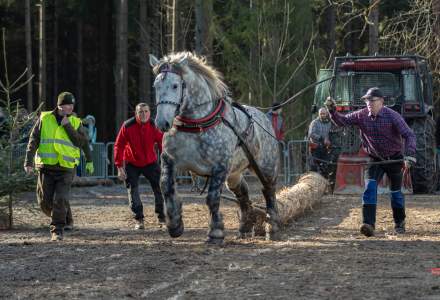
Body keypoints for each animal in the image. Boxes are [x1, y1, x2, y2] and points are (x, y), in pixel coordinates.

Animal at [150, 51, 280, 244]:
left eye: (175, 85)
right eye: (156, 85)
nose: (162, 123)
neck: (196, 124)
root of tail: (264, 118)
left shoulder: (219, 167)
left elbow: (212, 198)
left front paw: (216, 232)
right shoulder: (170, 160)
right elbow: (166, 186)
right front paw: (174, 224)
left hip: (265, 168)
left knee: (268, 191)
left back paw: (273, 226)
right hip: (234, 173)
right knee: (242, 193)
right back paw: (245, 226)